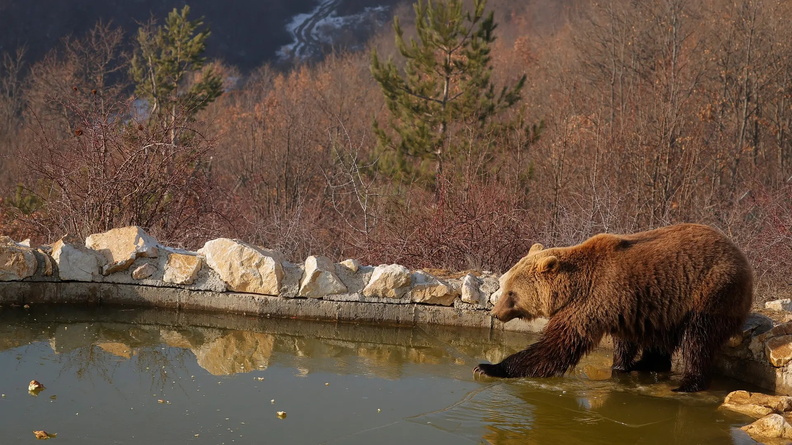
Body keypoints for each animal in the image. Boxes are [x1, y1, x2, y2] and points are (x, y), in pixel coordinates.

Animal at [474, 223, 753, 392]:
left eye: (511, 292)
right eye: (503, 285)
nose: (496, 313)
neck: (573, 286)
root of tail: (739, 254)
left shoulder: (594, 299)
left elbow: (558, 346)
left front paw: (489, 367)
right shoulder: (626, 306)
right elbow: (624, 340)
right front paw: (620, 366)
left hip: (712, 292)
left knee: (698, 338)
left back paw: (687, 383)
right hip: (667, 305)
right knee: (661, 337)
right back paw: (646, 364)